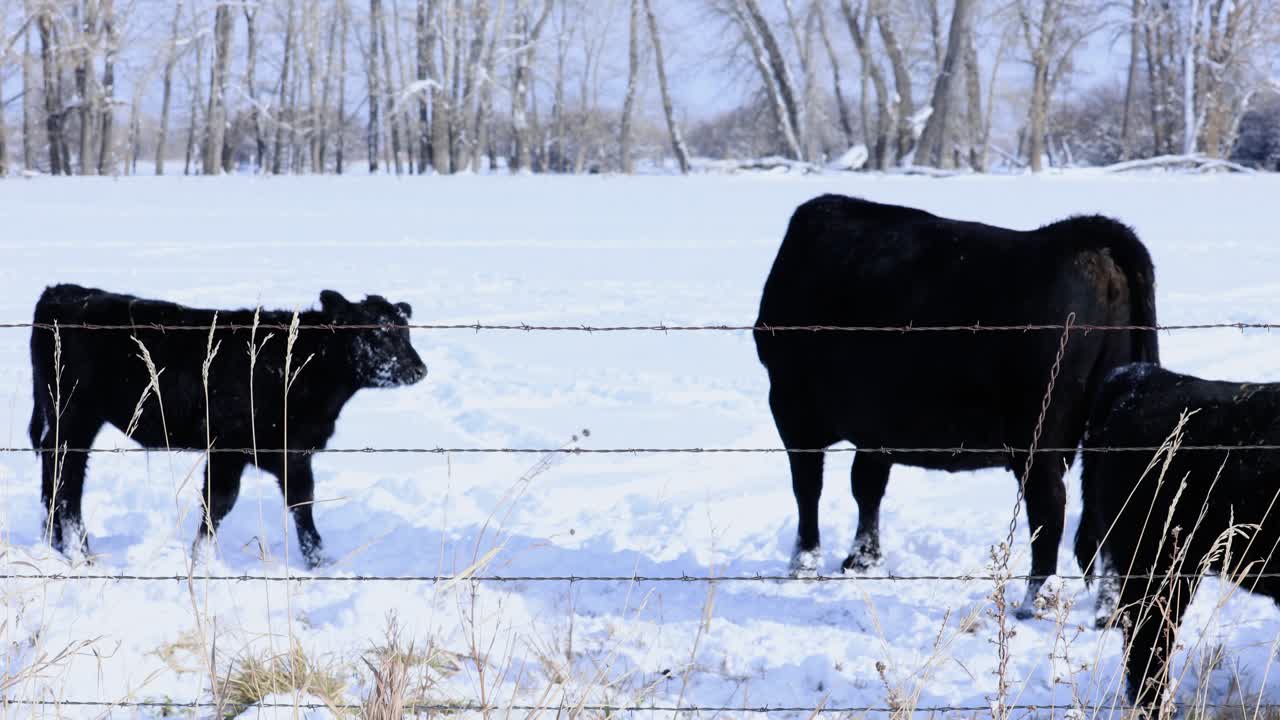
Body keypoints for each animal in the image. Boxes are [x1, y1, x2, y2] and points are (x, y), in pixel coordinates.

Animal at [29, 284, 428, 568]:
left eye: (406, 331)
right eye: (374, 334)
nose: (419, 369)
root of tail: (62, 291)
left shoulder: (293, 453)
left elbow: (303, 504)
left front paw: (319, 561)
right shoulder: (227, 449)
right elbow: (218, 504)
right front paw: (202, 561)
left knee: (53, 473)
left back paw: (55, 545)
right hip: (75, 416)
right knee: (68, 481)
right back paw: (80, 553)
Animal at [753, 194, 1159, 618]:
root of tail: (1086, 238)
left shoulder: (791, 406)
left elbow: (807, 487)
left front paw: (802, 564)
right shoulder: (877, 422)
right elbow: (866, 485)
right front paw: (863, 559)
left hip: (1036, 429)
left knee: (1048, 507)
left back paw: (1034, 601)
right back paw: (1109, 608)